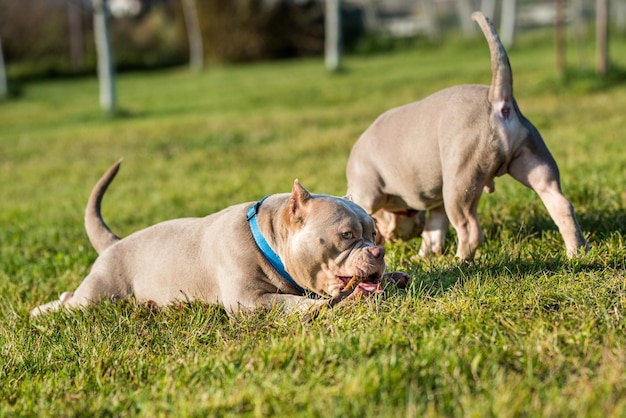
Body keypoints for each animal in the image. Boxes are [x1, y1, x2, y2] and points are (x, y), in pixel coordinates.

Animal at [31, 161, 408, 316]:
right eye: (346, 235)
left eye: (373, 233)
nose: (378, 251)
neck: (269, 240)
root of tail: (114, 242)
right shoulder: (248, 300)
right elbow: (290, 302)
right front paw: (318, 307)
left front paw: (395, 276)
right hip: (100, 293)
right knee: (72, 301)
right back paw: (41, 311)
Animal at [346, 11, 584, 260]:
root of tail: (497, 102)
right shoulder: (437, 205)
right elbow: (433, 231)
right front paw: (423, 257)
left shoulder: (366, 194)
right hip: (535, 164)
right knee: (561, 205)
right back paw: (576, 252)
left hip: (460, 183)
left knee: (470, 230)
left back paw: (460, 261)